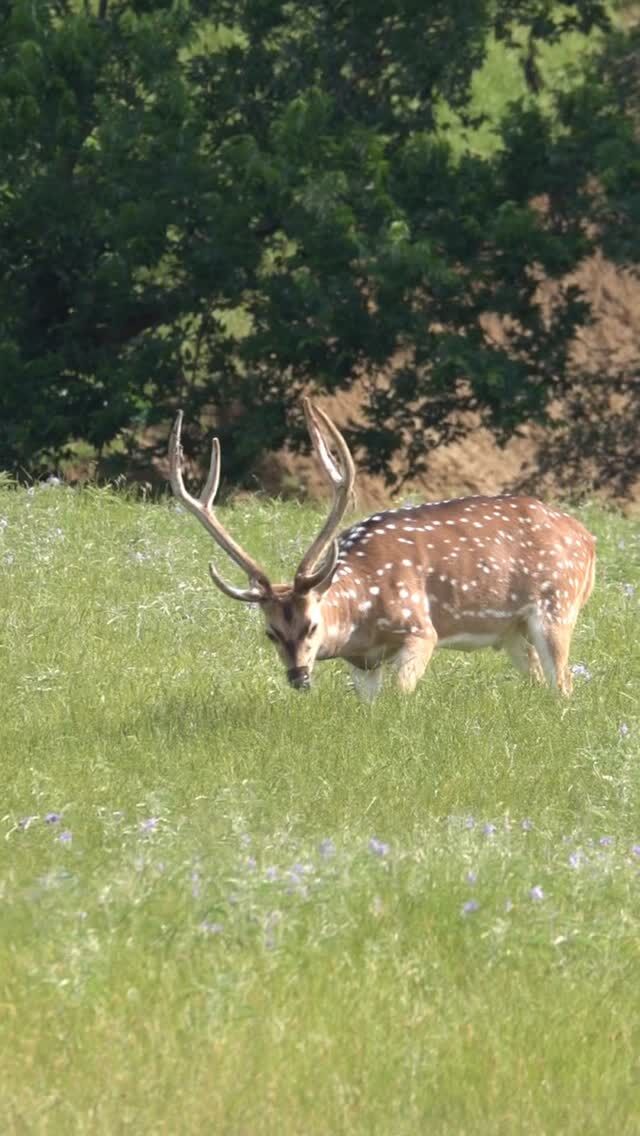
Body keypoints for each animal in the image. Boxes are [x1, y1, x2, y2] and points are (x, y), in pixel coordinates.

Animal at [169, 400, 596, 699]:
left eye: (312, 625)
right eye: (270, 632)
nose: (299, 677)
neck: (361, 615)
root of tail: (588, 539)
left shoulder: (420, 629)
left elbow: (400, 695)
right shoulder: (362, 663)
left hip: (557, 605)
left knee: (564, 684)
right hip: (510, 630)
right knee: (538, 677)